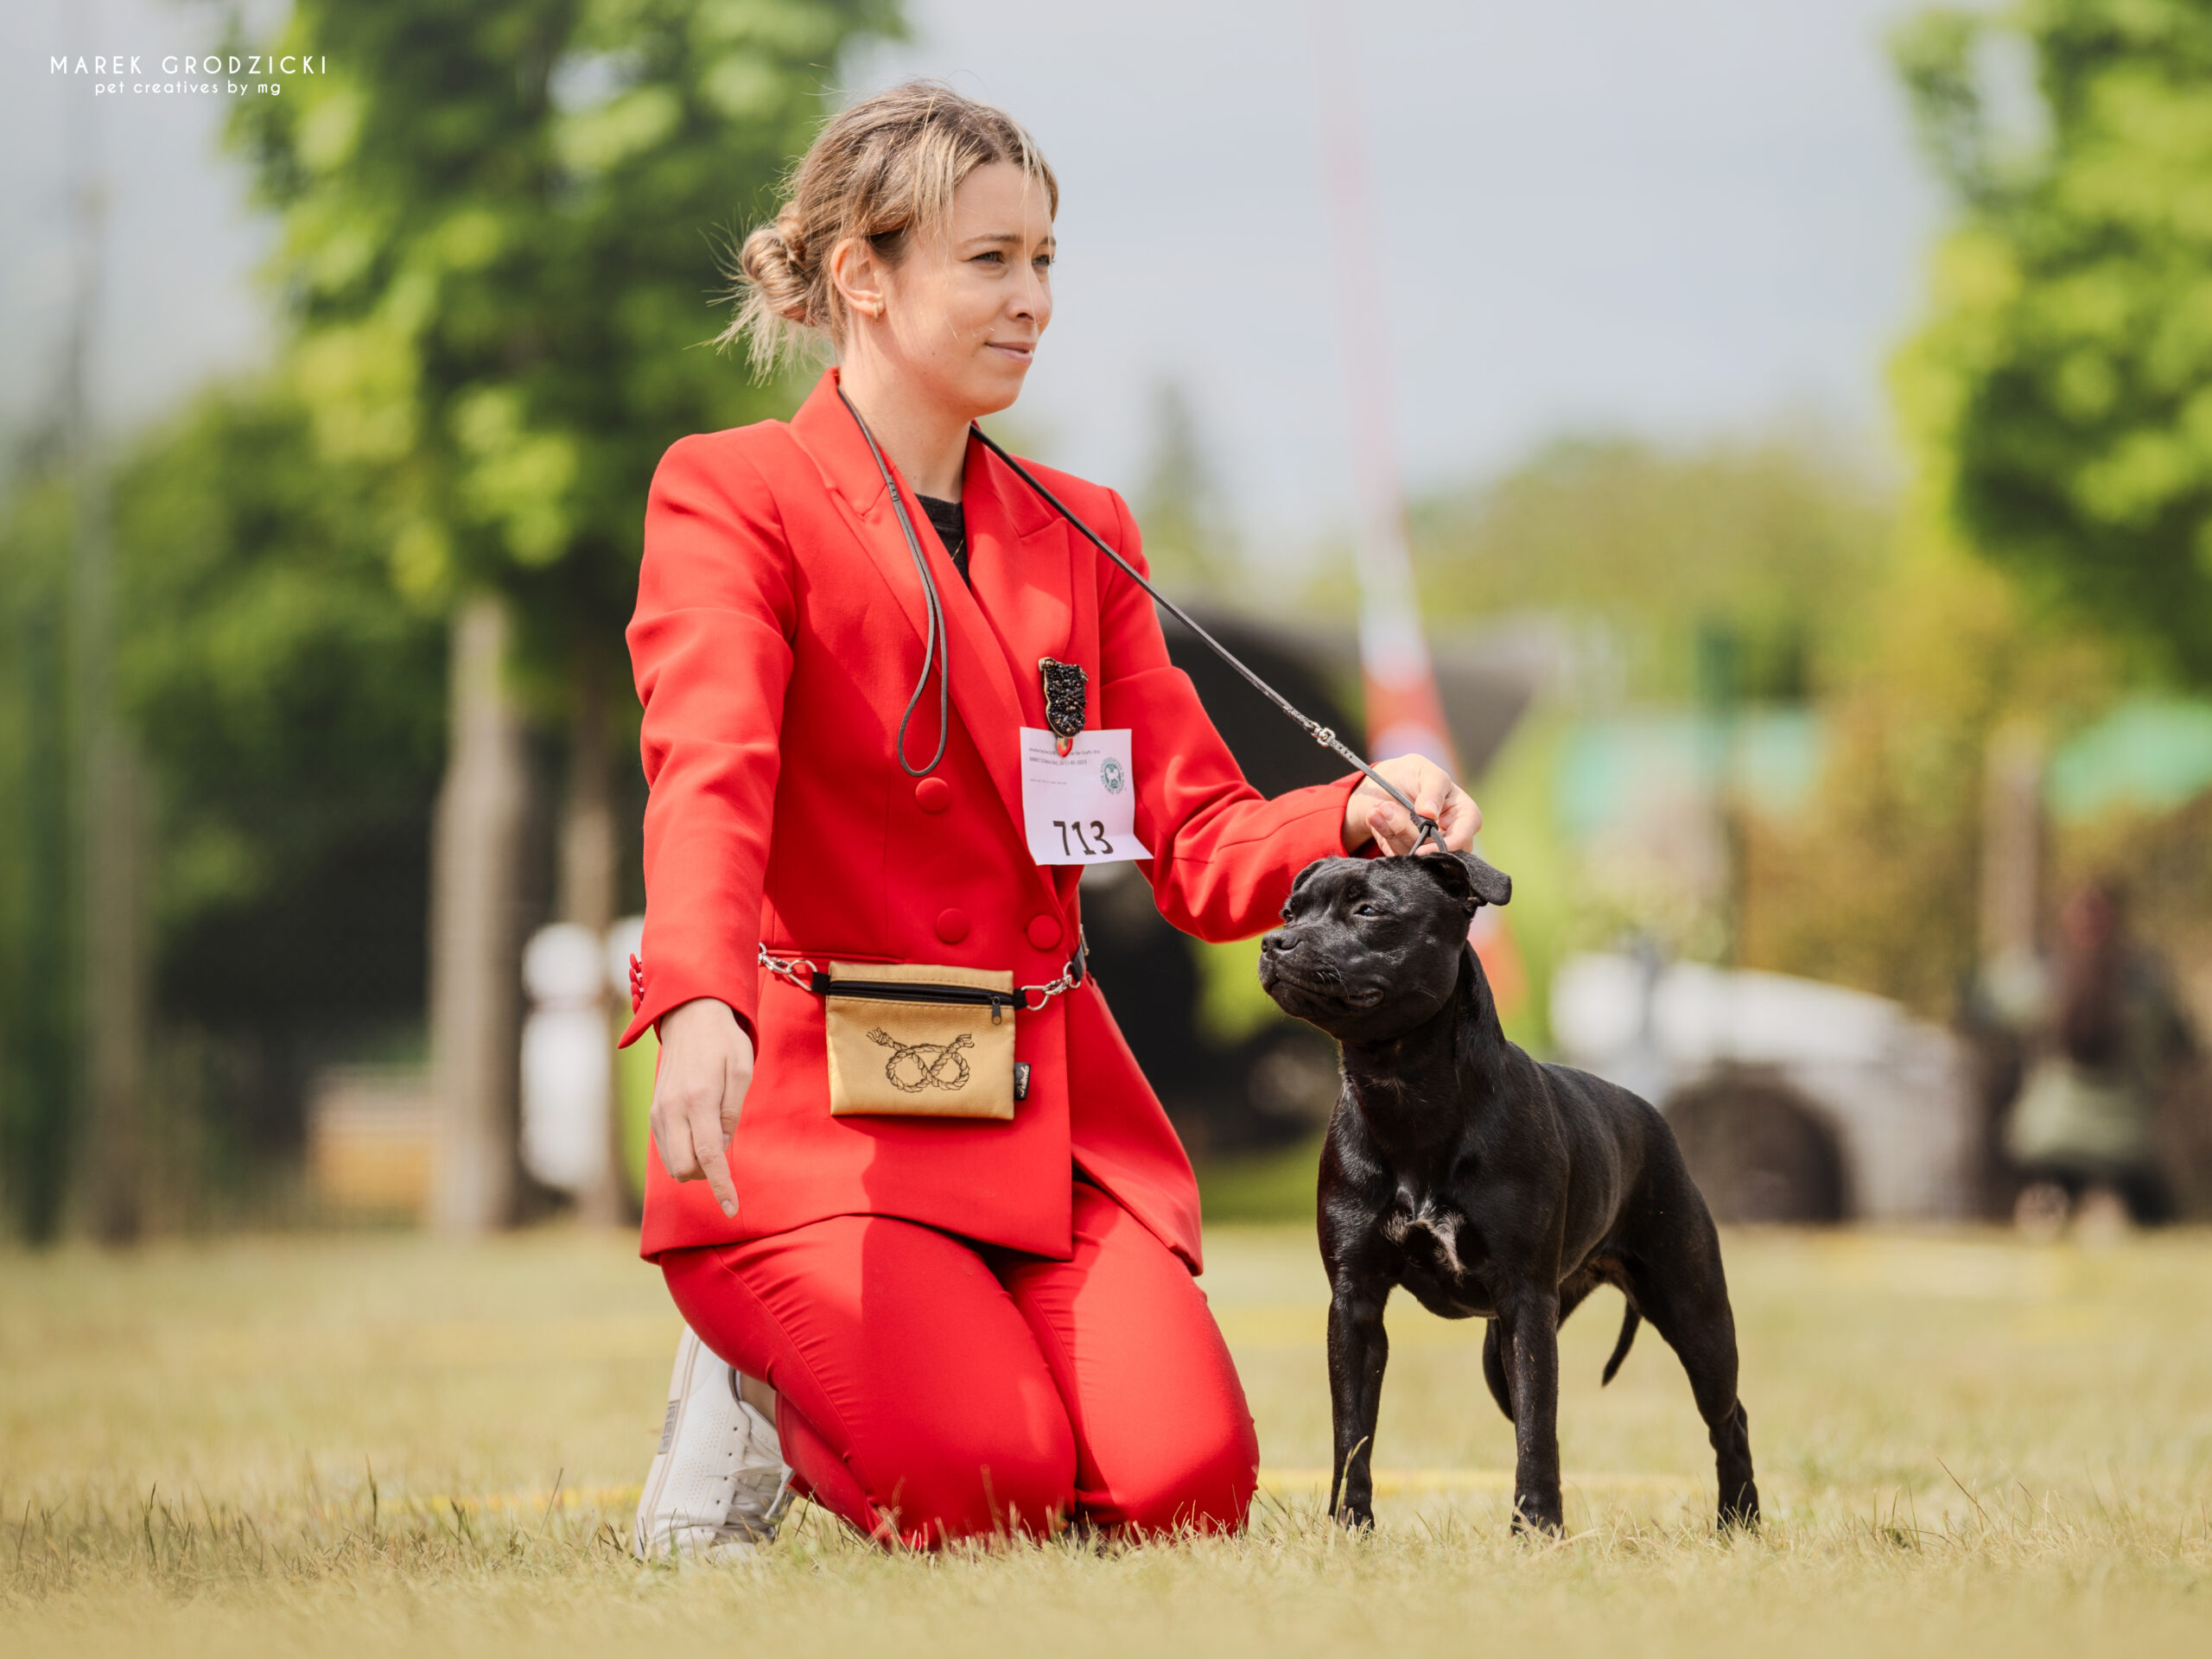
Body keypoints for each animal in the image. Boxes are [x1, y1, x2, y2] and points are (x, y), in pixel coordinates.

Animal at [1258, 849, 1758, 1534]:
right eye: (1290, 911)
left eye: (1369, 909)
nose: (1274, 942)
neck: (1403, 1090)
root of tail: (1648, 1113)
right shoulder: (1355, 1302)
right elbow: (1353, 1431)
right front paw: (1348, 1527)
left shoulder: (1526, 1303)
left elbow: (1536, 1431)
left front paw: (1538, 1530)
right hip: (1503, 1354)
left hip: (1695, 1312)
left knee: (1727, 1416)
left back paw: (1740, 1520)